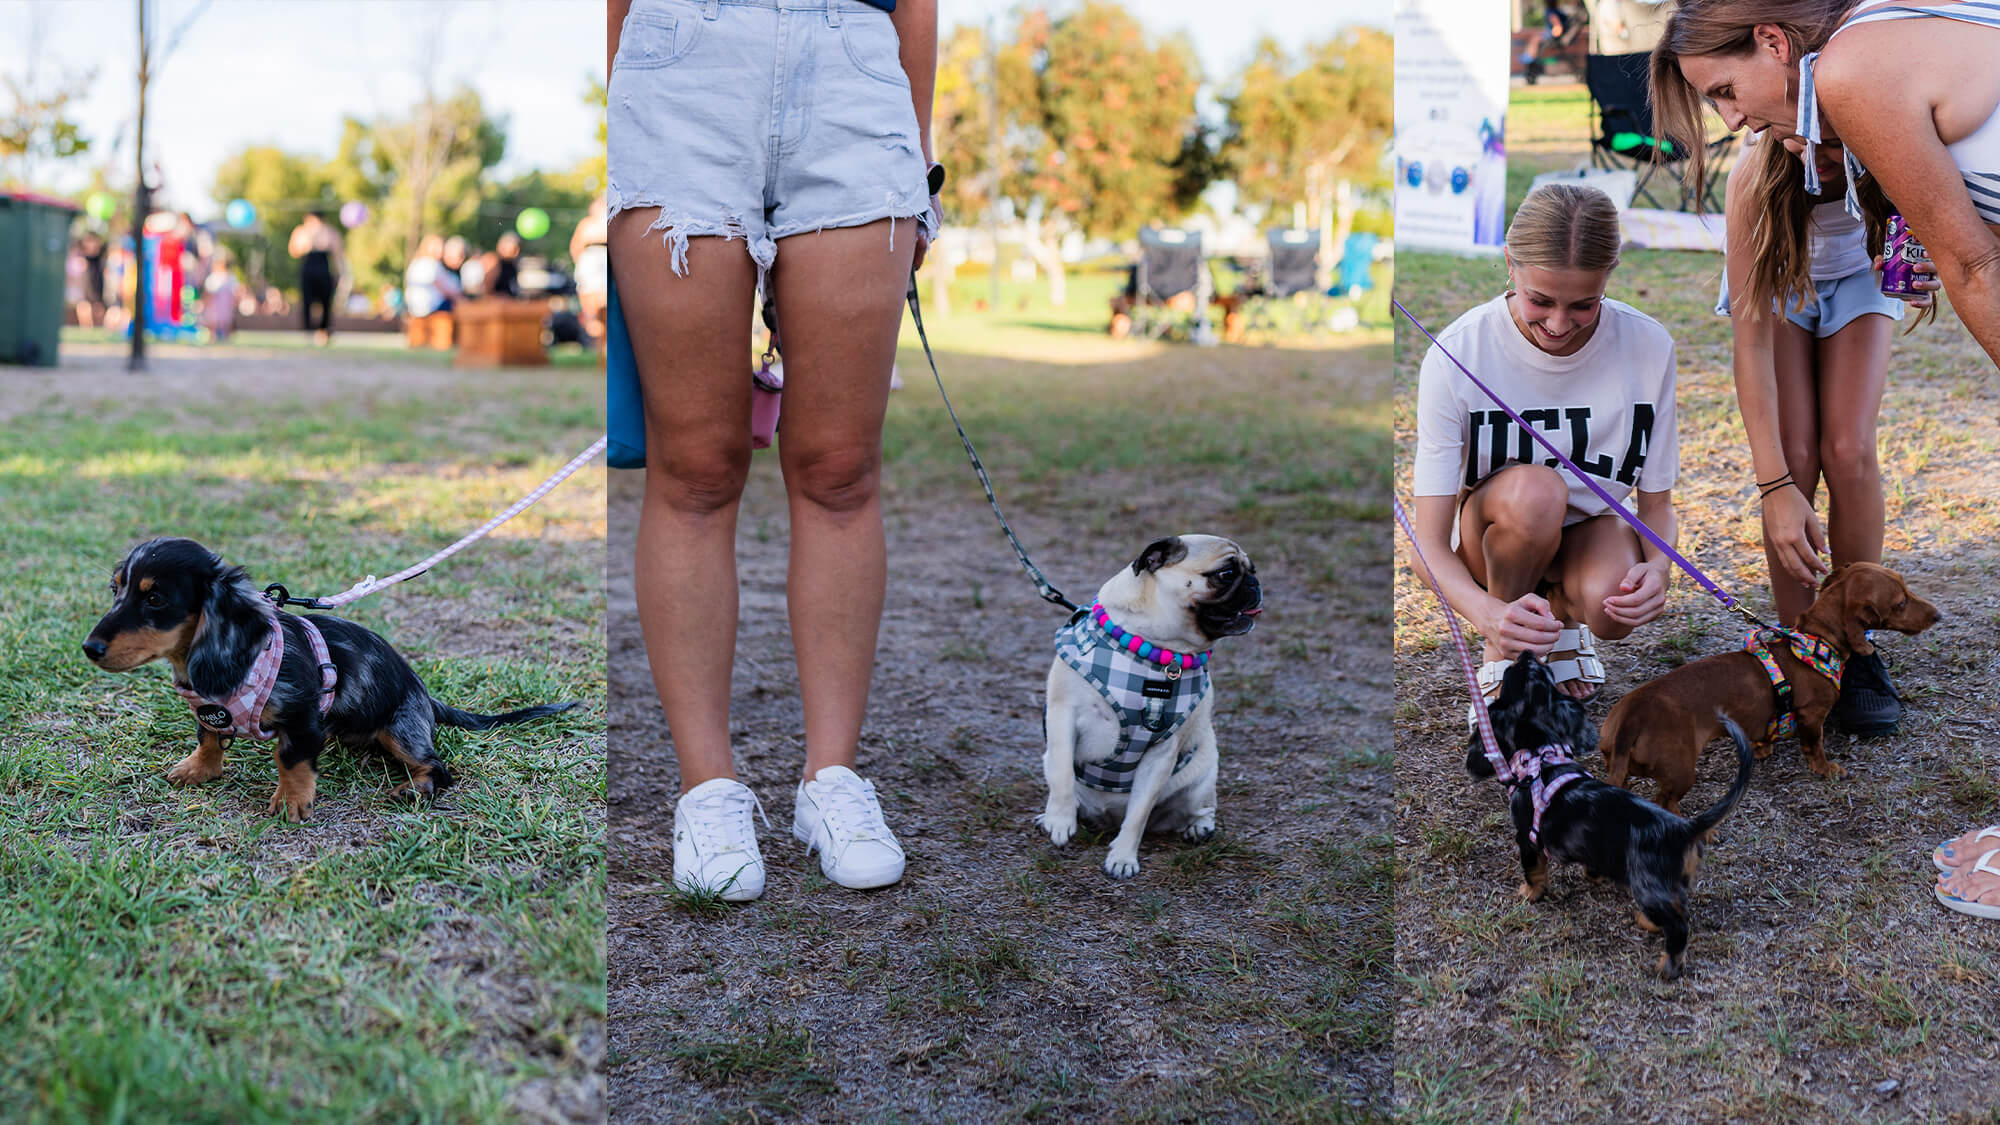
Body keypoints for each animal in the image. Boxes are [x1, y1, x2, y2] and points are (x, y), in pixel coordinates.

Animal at [82, 540, 576, 820]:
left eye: (156, 599)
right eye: (115, 589)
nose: (90, 648)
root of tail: (425, 695)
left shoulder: (302, 716)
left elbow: (291, 759)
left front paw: (291, 802)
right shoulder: (210, 710)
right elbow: (208, 737)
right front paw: (198, 769)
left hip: (402, 729)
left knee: (439, 768)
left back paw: (414, 789)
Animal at [1040, 532, 1256, 876]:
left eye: (1252, 570)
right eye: (1226, 574)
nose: (1255, 583)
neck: (1161, 650)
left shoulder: (1161, 753)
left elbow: (1138, 815)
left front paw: (1123, 857)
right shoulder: (1063, 718)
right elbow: (1063, 775)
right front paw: (1059, 821)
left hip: (1202, 777)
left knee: (1200, 807)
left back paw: (1198, 828)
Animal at [1472, 652, 1752, 976]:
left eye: (1511, 674)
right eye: (1542, 673)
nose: (1526, 654)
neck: (1542, 757)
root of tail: (1684, 829)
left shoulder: (1527, 838)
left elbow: (1534, 871)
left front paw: (1529, 893)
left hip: (1648, 887)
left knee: (1678, 926)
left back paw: (1667, 966)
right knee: (1679, 908)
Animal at [1592, 560, 1936, 812]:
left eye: (1906, 588)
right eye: (1900, 603)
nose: (1938, 615)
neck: (1816, 641)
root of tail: (1632, 719)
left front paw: (1762, 748)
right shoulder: (1811, 715)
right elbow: (1814, 747)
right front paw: (1826, 769)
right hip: (1680, 772)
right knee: (1664, 801)